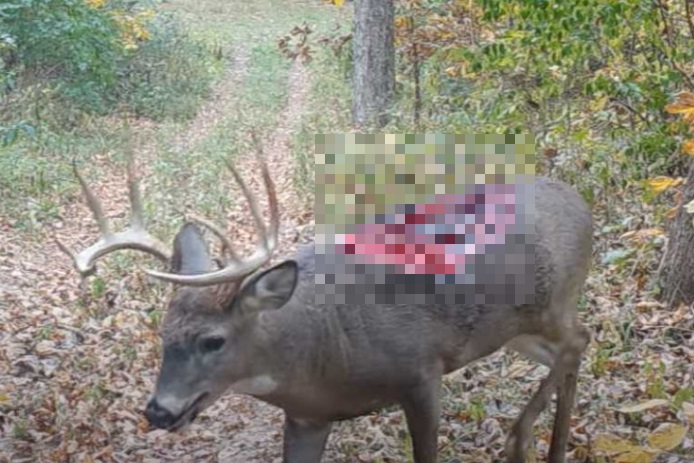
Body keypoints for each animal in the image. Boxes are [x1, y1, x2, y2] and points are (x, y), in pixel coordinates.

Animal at [58, 146, 593, 463]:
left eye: (214, 340)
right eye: (163, 335)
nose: (159, 412)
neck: (321, 353)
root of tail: (580, 201)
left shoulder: (421, 370)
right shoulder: (306, 416)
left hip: (551, 302)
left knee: (579, 340)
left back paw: (521, 441)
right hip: (515, 332)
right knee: (573, 349)